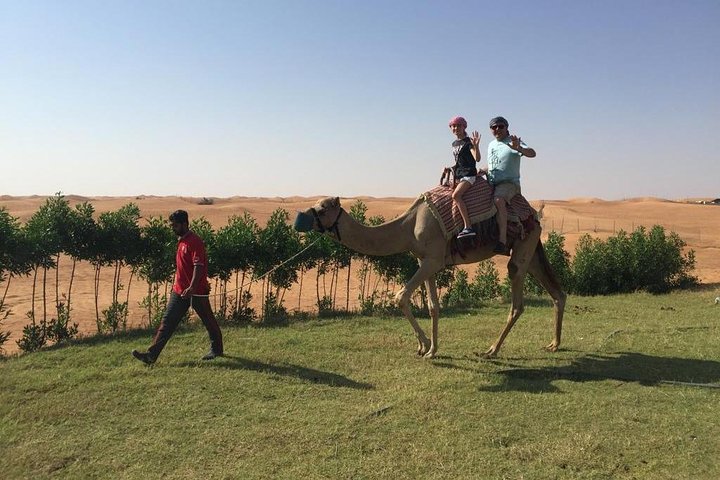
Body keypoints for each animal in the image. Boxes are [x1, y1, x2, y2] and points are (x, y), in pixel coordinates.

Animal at [294, 195, 566, 358]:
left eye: (322, 208)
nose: (299, 219)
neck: (407, 227)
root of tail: (535, 215)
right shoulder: (424, 260)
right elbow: (433, 306)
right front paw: (432, 349)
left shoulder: (432, 260)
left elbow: (401, 297)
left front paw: (423, 345)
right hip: (531, 249)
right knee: (557, 292)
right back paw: (553, 343)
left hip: (522, 248)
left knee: (517, 300)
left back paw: (492, 349)